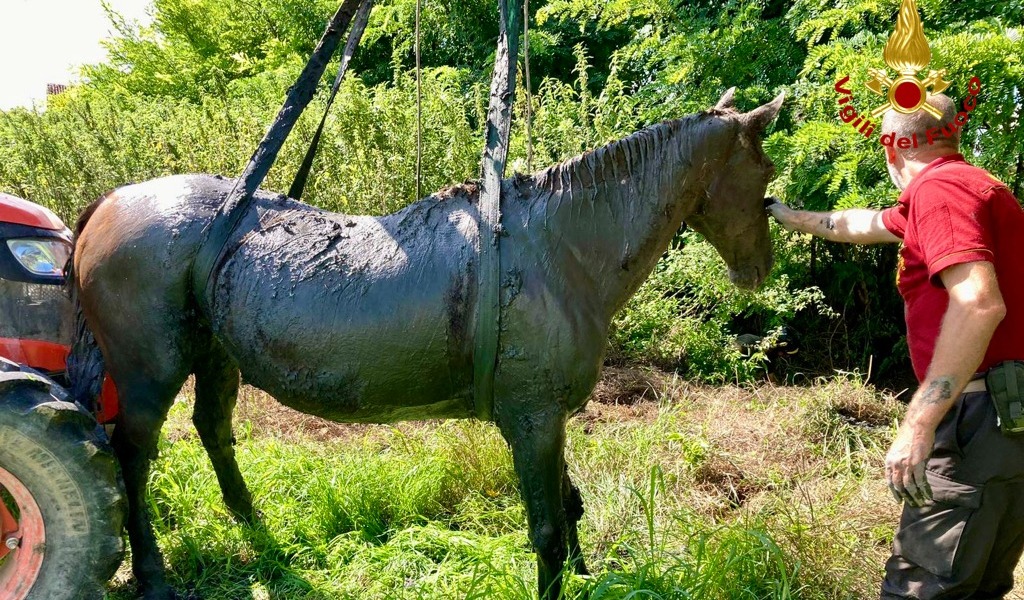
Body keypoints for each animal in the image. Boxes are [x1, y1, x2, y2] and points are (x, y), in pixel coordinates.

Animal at [68, 88, 783, 599]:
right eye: (766, 169)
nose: (761, 269)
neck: (558, 248)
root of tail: (109, 201)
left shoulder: (546, 415)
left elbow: (570, 508)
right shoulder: (531, 417)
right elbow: (548, 530)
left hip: (218, 356)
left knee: (212, 428)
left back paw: (255, 527)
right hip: (148, 373)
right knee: (131, 455)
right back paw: (153, 574)